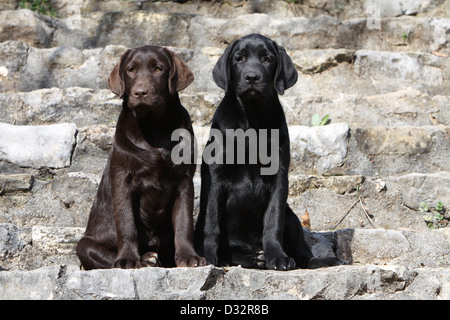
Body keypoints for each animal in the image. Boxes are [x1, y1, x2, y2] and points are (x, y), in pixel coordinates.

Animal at [195, 34, 342, 270]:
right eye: (238, 58)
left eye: (267, 59)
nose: (252, 77)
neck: (252, 118)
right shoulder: (216, 175)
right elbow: (212, 223)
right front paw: (208, 257)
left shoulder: (279, 176)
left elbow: (273, 221)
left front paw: (277, 256)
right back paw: (250, 258)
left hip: (292, 218)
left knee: (303, 252)